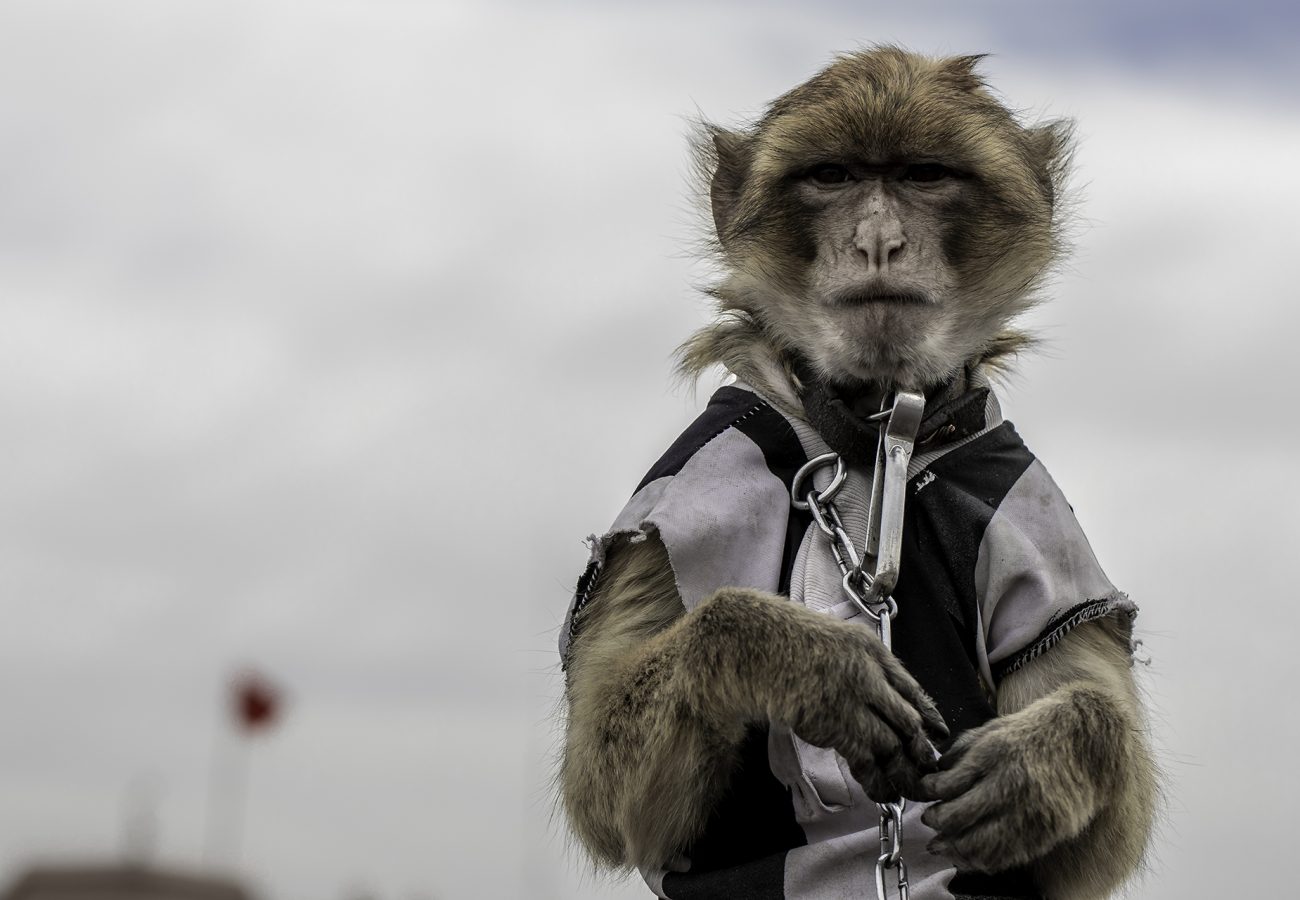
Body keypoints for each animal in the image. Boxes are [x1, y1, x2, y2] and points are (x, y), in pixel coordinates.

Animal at [557, 47, 1157, 900]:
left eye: (925, 175)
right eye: (832, 176)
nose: (878, 242)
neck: (876, 431)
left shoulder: (1020, 502)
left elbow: (1092, 849)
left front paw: (1042, 763)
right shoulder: (688, 481)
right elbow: (613, 801)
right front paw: (800, 660)